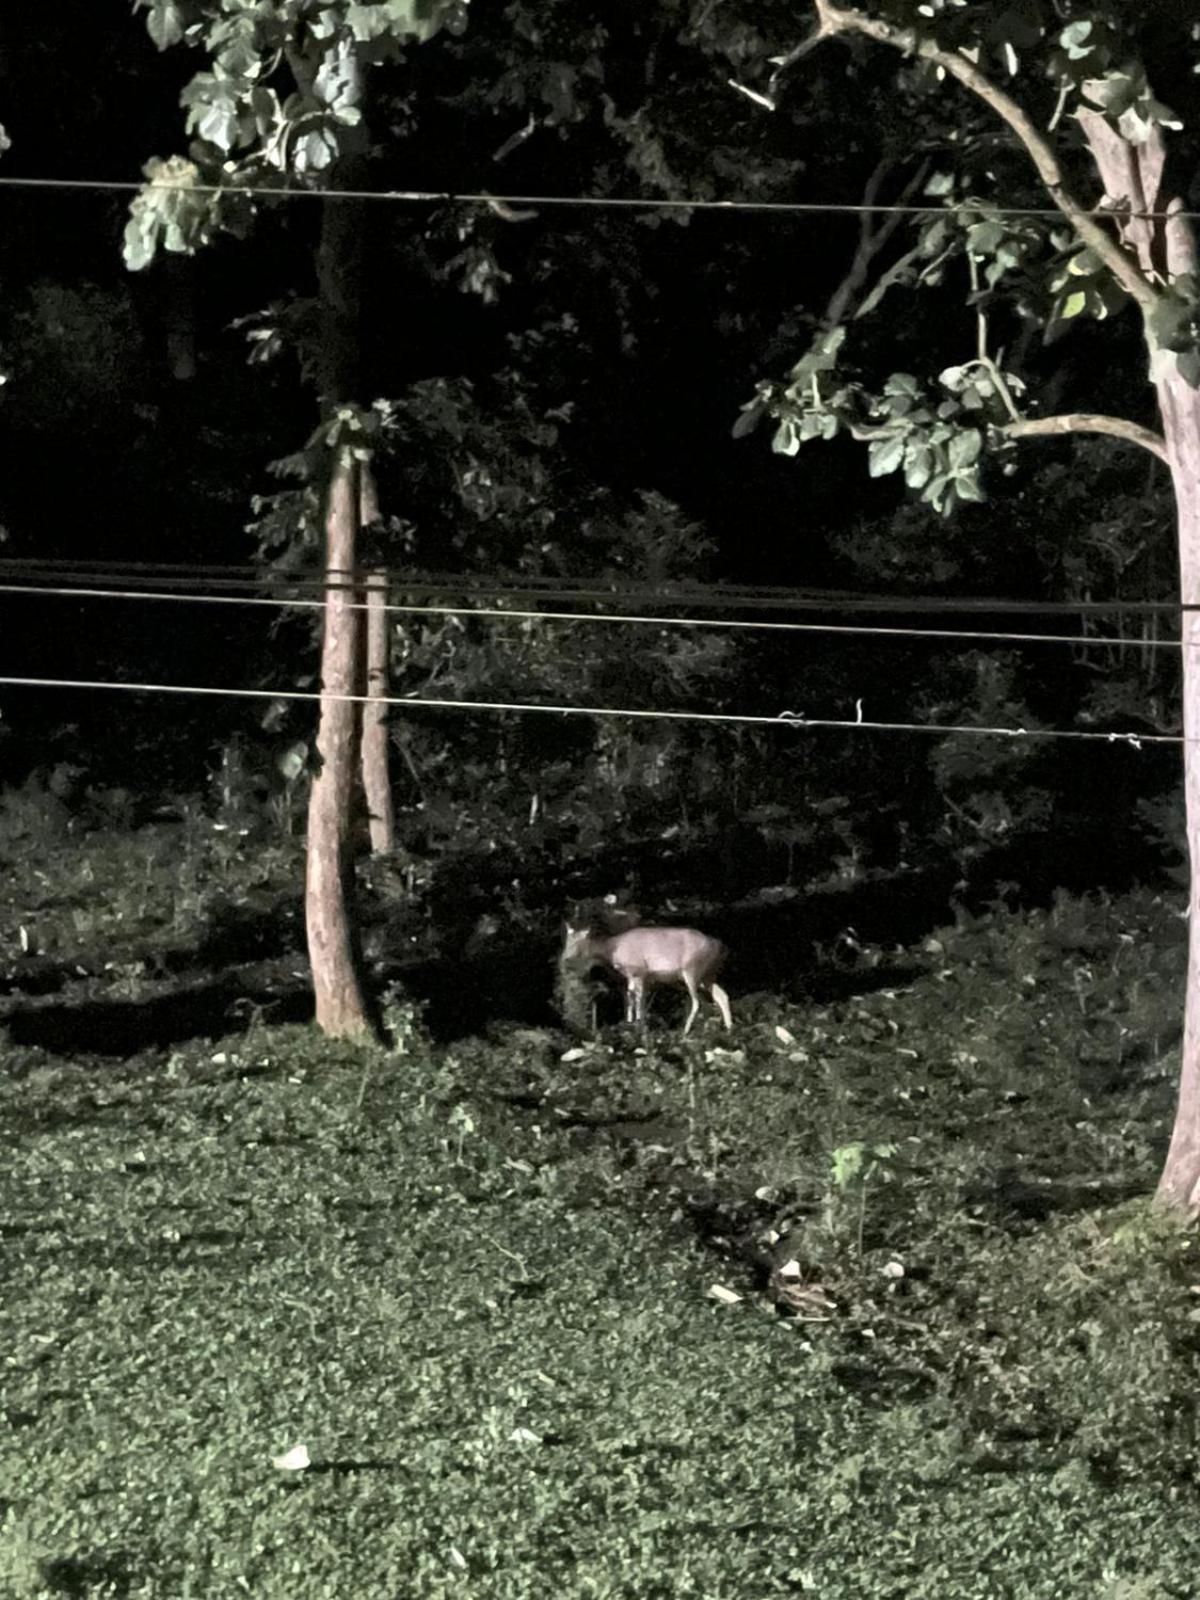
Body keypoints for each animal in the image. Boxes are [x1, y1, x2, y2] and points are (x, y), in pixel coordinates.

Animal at [563, 928, 732, 1036]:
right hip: (708, 974)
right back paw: (730, 1028)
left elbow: (639, 1001)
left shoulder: (640, 972)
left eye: (577, 943)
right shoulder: (633, 977)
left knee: (697, 1002)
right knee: (721, 995)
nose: (565, 958)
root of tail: (718, 945)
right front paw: (631, 1024)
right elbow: (631, 998)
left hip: (691, 970)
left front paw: (639, 1026)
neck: (611, 951)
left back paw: (685, 1031)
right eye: (566, 942)